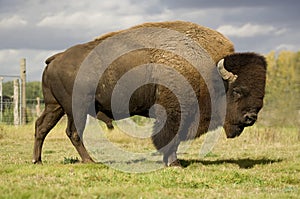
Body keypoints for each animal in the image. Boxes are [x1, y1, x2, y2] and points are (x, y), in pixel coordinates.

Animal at [33, 20, 268, 166]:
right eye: (237, 91)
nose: (250, 117)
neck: (210, 72)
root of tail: (56, 58)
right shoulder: (175, 112)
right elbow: (170, 136)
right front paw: (174, 163)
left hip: (55, 106)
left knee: (42, 126)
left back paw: (38, 160)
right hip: (76, 108)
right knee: (73, 132)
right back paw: (90, 161)